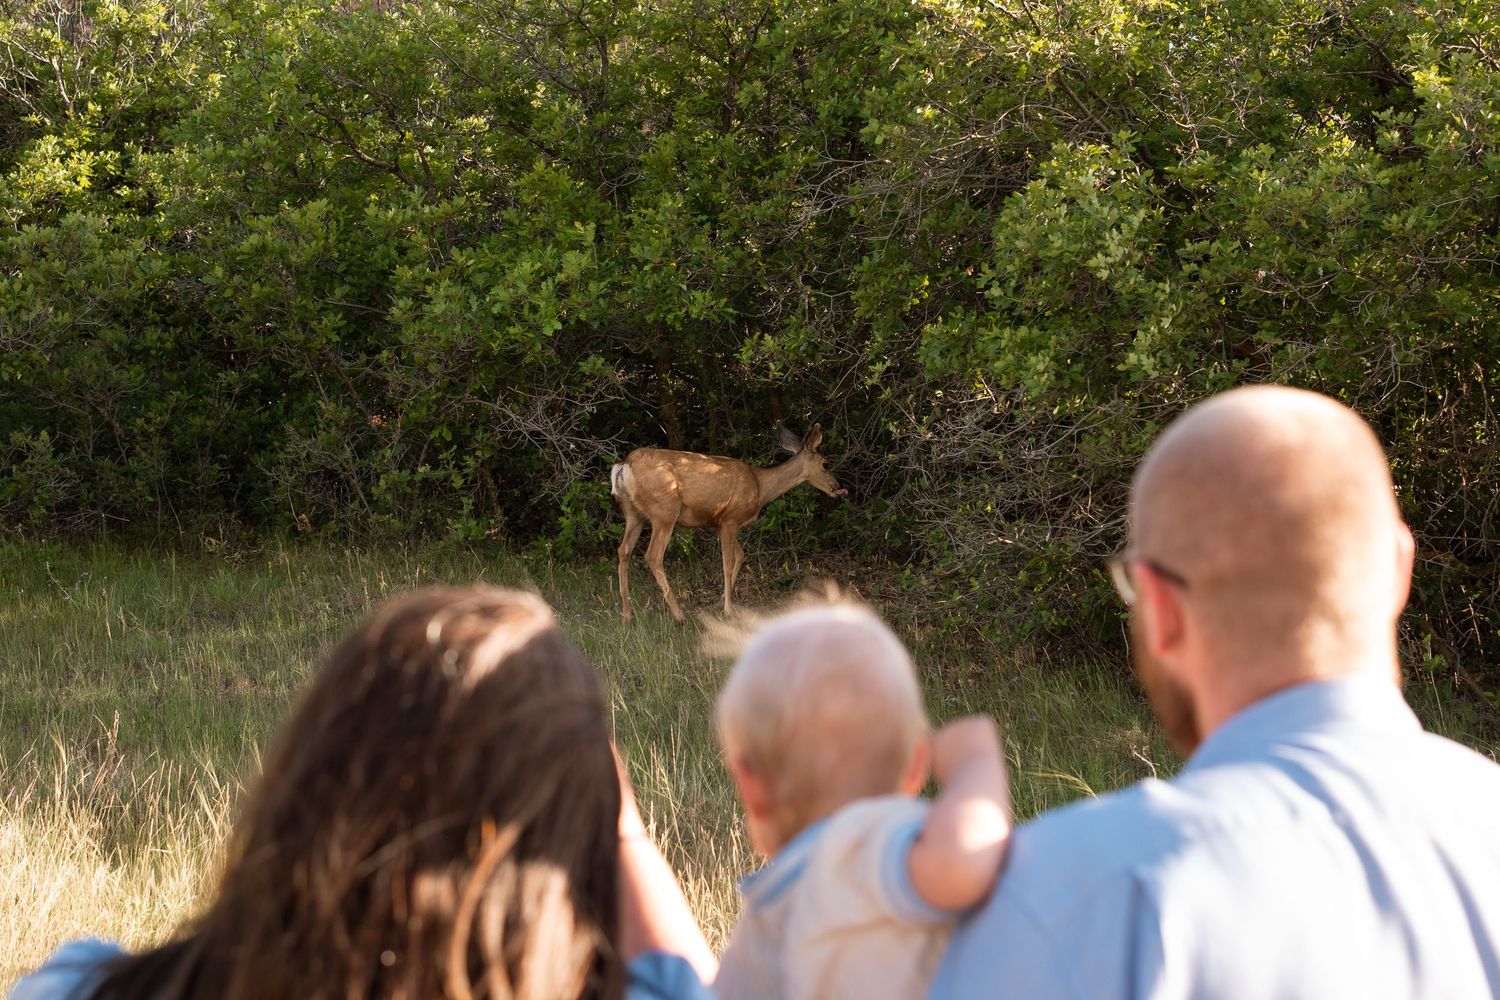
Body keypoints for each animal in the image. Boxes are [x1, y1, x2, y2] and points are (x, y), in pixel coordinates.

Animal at [610, 423, 846, 622]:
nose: (837, 487)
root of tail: (624, 465)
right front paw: (728, 610)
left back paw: (627, 615)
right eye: (825, 464)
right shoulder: (730, 519)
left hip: (633, 513)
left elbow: (741, 556)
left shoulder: (719, 524)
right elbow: (728, 563)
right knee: (653, 555)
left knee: (623, 550)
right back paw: (679, 615)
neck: (760, 487)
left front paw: (720, 603)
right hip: (665, 510)